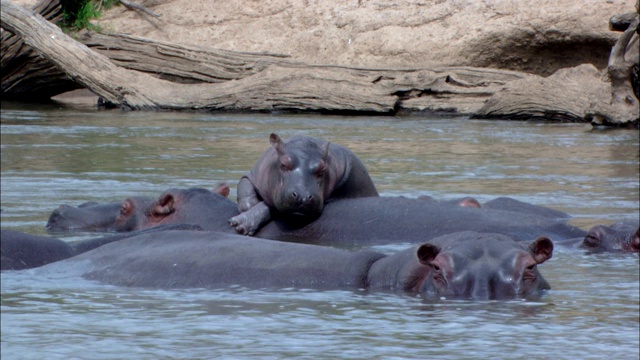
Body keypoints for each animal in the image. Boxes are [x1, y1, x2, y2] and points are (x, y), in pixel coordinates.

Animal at [228, 134, 378, 235]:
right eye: (284, 164)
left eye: (322, 169)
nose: (302, 196)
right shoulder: (255, 173)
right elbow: (244, 183)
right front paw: (248, 205)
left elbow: (268, 207)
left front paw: (239, 224)